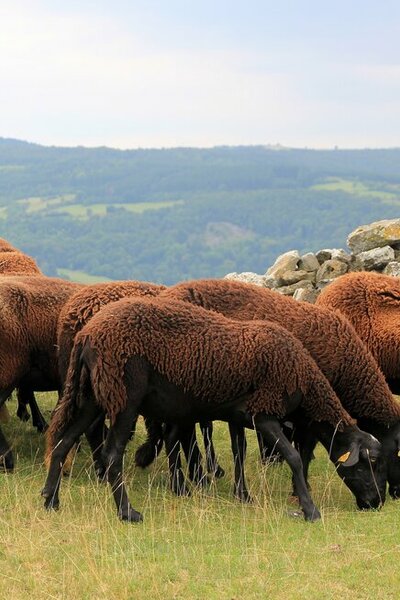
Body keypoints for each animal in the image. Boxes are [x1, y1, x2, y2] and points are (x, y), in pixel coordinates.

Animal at [42, 298, 386, 524]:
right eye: (369, 463)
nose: (377, 503)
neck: (302, 377)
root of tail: (87, 335)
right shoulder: (264, 412)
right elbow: (294, 457)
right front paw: (310, 510)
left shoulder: (239, 415)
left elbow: (239, 451)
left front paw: (243, 495)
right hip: (125, 398)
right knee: (112, 455)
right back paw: (128, 513)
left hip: (92, 397)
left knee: (62, 442)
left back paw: (50, 500)